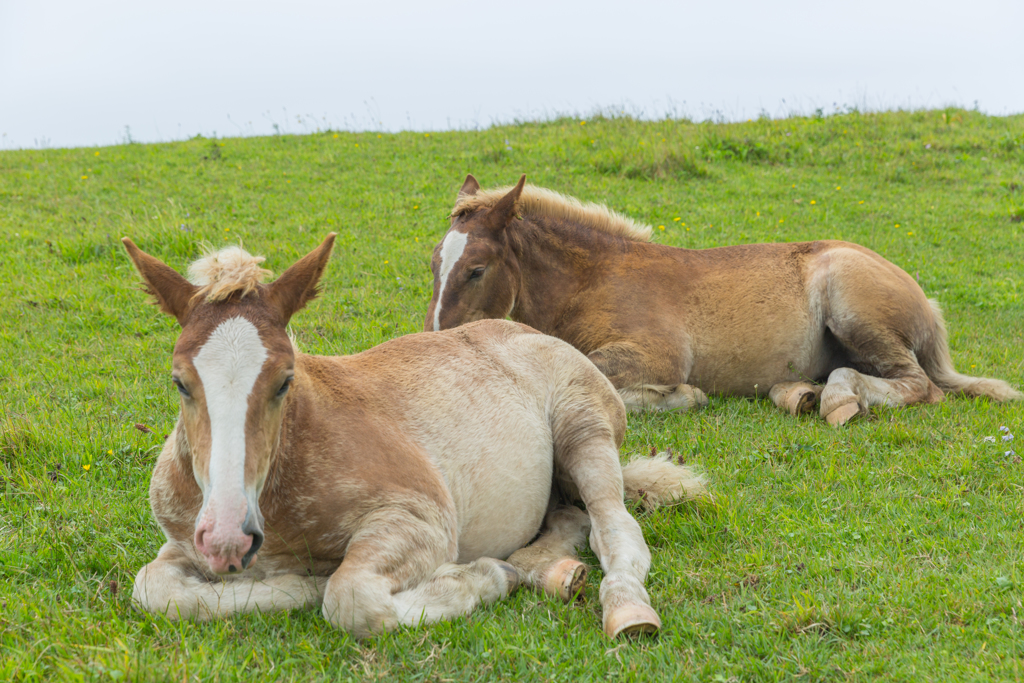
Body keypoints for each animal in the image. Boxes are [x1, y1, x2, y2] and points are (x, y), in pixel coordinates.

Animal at [121, 236, 704, 643]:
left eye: (284, 380)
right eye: (179, 381)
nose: (227, 540)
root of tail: (526, 330)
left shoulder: (421, 519)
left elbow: (350, 598)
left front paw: (482, 577)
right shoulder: (181, 540)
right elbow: (154, 587)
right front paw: (293, 583)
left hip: (585, 429)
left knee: (614, 528)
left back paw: (624, 610)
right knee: (570, 519)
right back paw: (549, 571)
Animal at [421, 174, 1015, 423]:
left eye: (476, 270)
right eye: (433, 263)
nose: (433, 343)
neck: (594, 280)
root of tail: (925, 302)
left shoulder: (656, 354)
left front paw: (684, 396)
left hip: (854, 307)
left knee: (919, 387)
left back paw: (839, 399)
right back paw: (800, 393)